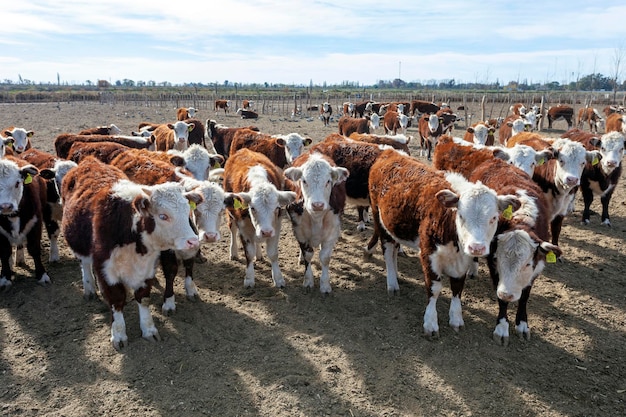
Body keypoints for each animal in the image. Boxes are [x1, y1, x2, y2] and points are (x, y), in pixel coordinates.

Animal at [0, 156, 50, 290]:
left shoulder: (35, 223)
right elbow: (4, 253)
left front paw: (42, 275)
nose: (5, 206)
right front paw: (5, 277)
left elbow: (34, 249)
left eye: (17, 183)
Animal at [61, 156, 200, 348]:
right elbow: (117, 300)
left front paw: (148, 329)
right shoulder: (106, 269)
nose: (193, 241)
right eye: (163, 216)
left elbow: (143, 297)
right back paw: (89, 288)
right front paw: (119, 334)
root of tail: (89, 161)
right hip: (79, 245)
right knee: (85, 264)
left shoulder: (147, 268)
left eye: (188, 211)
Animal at [222, 148, 294, 288]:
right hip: (232, 215)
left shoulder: (276, 226)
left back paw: (259, 254)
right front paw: (249, 279)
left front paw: (278, 278)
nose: (266, 232)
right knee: (232, 229)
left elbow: (273, 253)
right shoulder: (243, 227)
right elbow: (249, 254)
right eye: (253, 208)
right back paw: (233, 252)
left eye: (277, 208)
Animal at [282, 152, 346, 292]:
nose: (317, 205)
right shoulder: (299, 230)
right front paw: (308, 280)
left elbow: (325, 257)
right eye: (304, 181)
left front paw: (325, 284)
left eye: (328, 181)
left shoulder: (332, 230)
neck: (316, 218)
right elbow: (308, 255)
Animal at [366, 148, 516, 336]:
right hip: (379, 217)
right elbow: (434, 288)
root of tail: (390, 152)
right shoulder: (428, 253)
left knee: (393, 250)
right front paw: (430, 323)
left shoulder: (463, 260)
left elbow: (458, 287)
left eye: (494, 218)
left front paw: (456, 318)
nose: (476, 247)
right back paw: (392, 283)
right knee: (387, 250)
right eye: (461, 215)